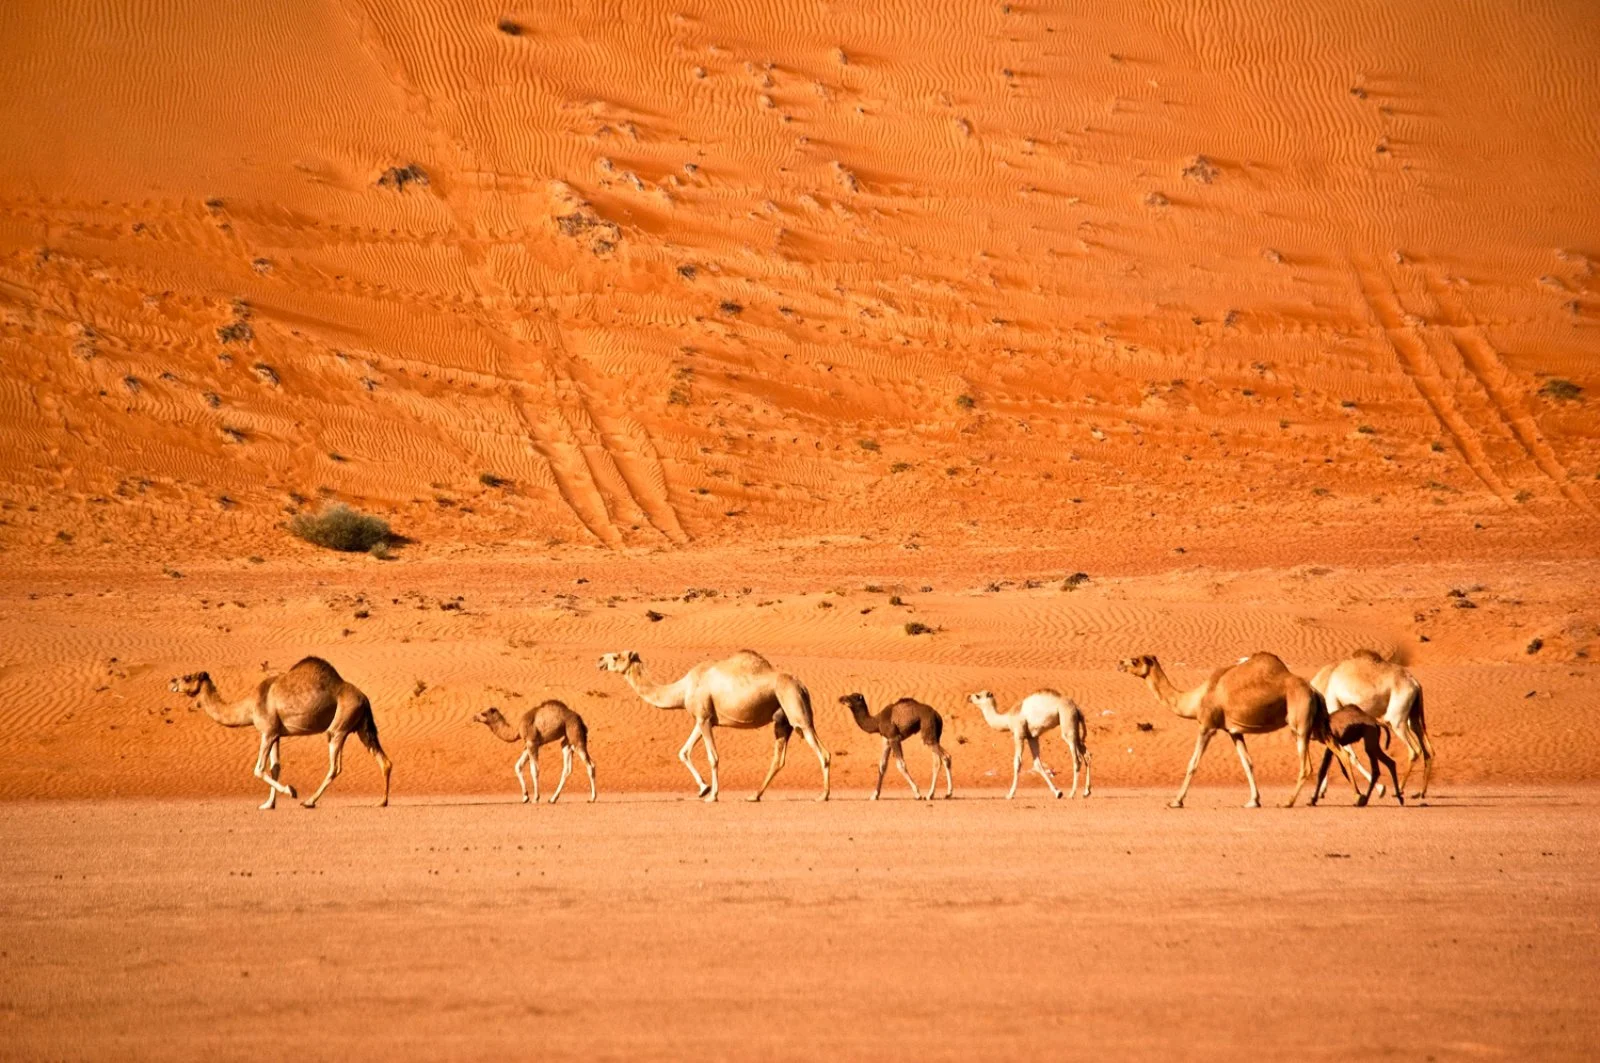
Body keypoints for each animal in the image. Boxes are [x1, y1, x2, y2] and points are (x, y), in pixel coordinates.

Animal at [168, 656, 393, 806]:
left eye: (187, 677)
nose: (171, 682)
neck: (250, 706)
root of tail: (364, 698)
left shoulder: (267, 732)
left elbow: (259, 769)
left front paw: (291, 791)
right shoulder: (277, 734)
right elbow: (276, 767)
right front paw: (269, 804)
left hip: (339, 725)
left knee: (335, 766)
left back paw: (309, 801)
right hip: (361, 726)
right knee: (384, 761)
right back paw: (382, 801)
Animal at [595, 653, 832, 800]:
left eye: (616, 656)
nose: (599, 660)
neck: (683, 688)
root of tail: (802, 686)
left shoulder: (704, 718)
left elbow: (713, 757)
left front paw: (712, 795)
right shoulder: (702, 718)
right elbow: (683, 751)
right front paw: (703, 788)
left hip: (795, 708)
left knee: (822, 751)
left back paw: (823, 795)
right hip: (782, 719)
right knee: (779, 758)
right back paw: (754, 795)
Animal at [960, 688, 1088, 797]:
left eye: (978, 696)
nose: (968, 697)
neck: (1007, 719)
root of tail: (1077, 708)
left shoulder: (1019, 734)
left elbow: (1017, 763)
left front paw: (1010, 794)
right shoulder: (1032, 737)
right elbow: (1037, 764)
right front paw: (1058, 792)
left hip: (1067, 722)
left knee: (1077, 759)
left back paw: (1072, 793)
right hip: (1075, 726)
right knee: (1086, 754)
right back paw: (1086, 792)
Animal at [1113, 653, 1324, 810]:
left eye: (1135, 660)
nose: (1119, 663)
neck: (1196, 700)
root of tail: (1313, 690)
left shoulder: (1207, 726)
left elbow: (1193, 763)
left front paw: (1176, 801)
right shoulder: (1234, 731)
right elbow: (1247, 763)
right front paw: (1253, 801)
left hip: (1300, 723)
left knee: (1306, 765)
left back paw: (1288, 802)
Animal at [1312, 646, 1440, 797]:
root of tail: (1416, 684)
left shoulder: (1333, 708)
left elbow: (1348, 755)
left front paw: (1380, 789)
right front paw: (1321, 791)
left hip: (1396, 720)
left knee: (1414, 750)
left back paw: (1399, 790)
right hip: (1413, 716)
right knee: (1428, 749)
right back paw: (1421, 792)